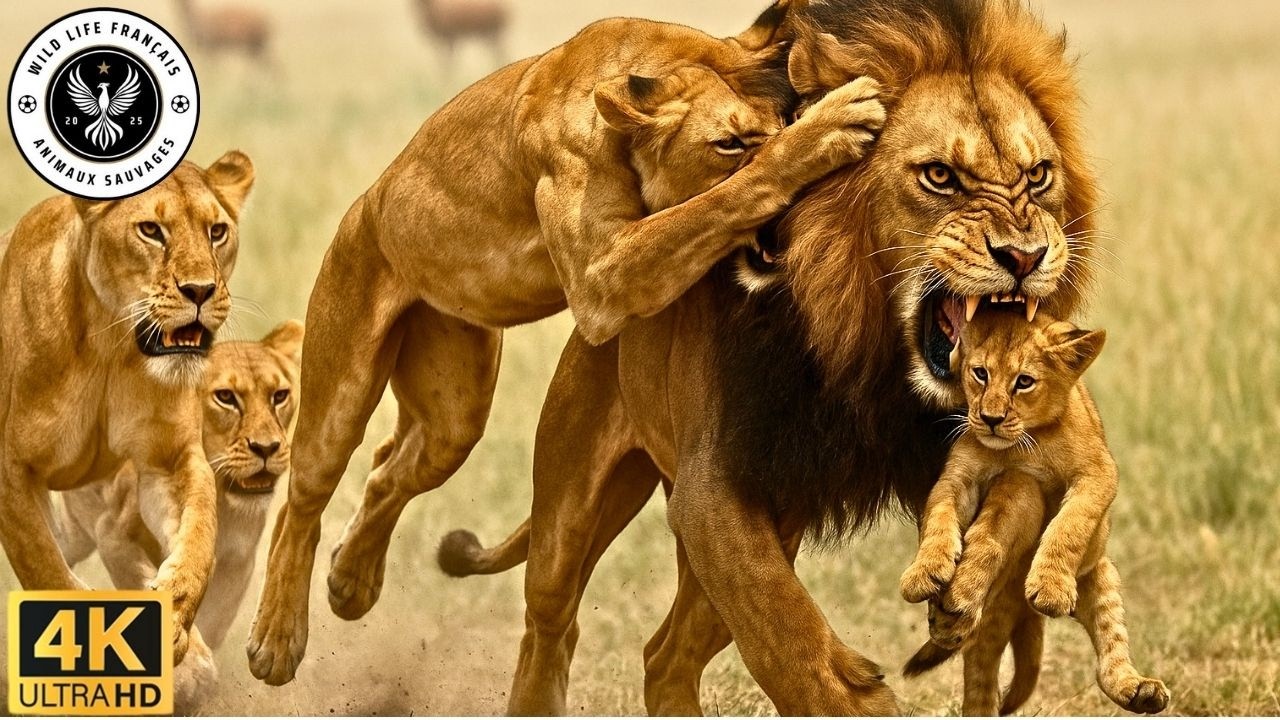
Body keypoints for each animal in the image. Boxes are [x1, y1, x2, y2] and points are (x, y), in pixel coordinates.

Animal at [0, 151, 255, 662]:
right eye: (151, 231)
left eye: (217, 231)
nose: (201, 290)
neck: (111, 347)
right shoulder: (13, 469)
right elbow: (42, 565)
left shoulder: (171, 459)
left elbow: (201, 531)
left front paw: (174, 618)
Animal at [248, 0, 889, 685]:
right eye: (730, 142)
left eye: (779, 118)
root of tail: (366, 204)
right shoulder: (601, 273)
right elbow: (719, 201)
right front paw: (836, 125)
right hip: (340, 387)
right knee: (302, 498)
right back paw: (276, 641)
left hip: (454, 410)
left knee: (389, 467)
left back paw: (351, 581)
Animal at [436, 0, 1105, 713]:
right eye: (940, 177)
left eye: (1038, 176)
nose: (1026, 257)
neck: (863, 353)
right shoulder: (713, 489)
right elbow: (791, 642)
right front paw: (864, 691)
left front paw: (965, 598)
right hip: (570, 510)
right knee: (550, 626)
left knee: (664, 658)